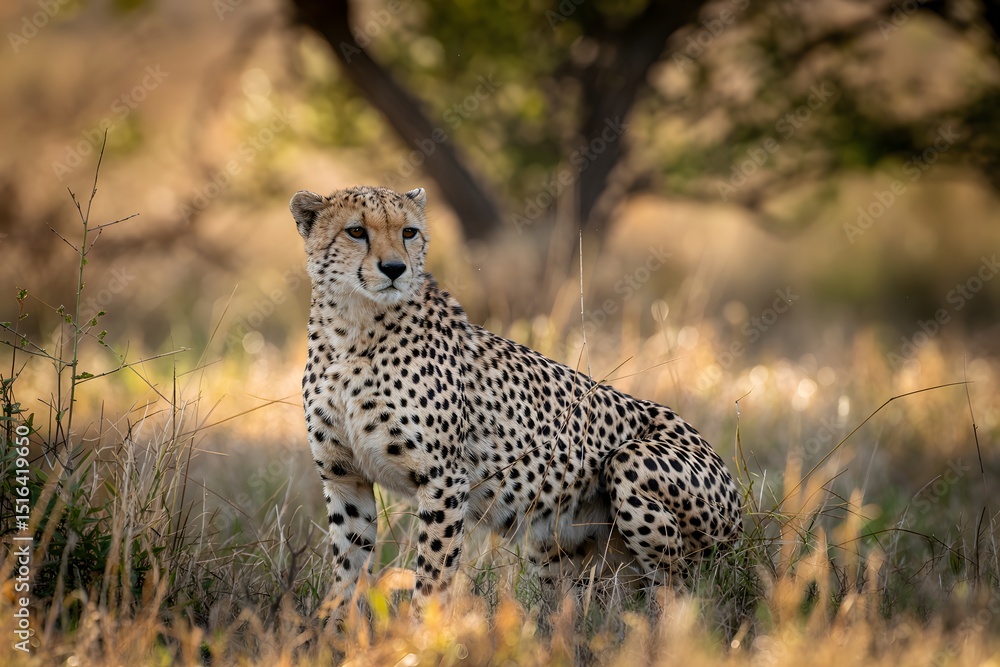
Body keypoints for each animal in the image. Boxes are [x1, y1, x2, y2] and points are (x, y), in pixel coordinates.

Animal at [290, 185, 741, 614]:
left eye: (409, 232)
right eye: (356, 232)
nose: (395, 268)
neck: (351, 331)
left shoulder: (443, 481)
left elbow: (432, 577)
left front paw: (419, 633)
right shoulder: (345, 477)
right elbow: (348, 573)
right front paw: (333, 631)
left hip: (635, 469)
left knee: (680, 591)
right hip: (556, 543)